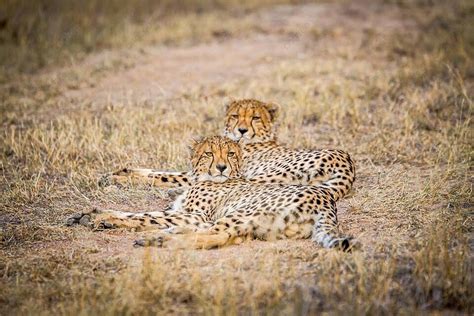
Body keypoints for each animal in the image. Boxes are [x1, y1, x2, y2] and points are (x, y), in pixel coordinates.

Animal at [69, 137, 352, 251]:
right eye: (209, 153)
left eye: (230, 153)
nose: (221, 167)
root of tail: (327, 201)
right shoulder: (181, 210)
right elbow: (143, 212)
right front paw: (92, 213)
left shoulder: (196, 215)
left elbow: (144, 215)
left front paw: (99, 217)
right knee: (226, 237)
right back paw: (165, 235)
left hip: (241, 212)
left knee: (218, 235)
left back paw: (158, 239)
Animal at [103, 99, 356, 202]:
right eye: (235, 116)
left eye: (255, 118)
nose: (241, 130)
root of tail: (346, 159)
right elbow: (160, 170)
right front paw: (121, 171)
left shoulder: (216, 172)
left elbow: (163, 176)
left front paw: (117, 179)